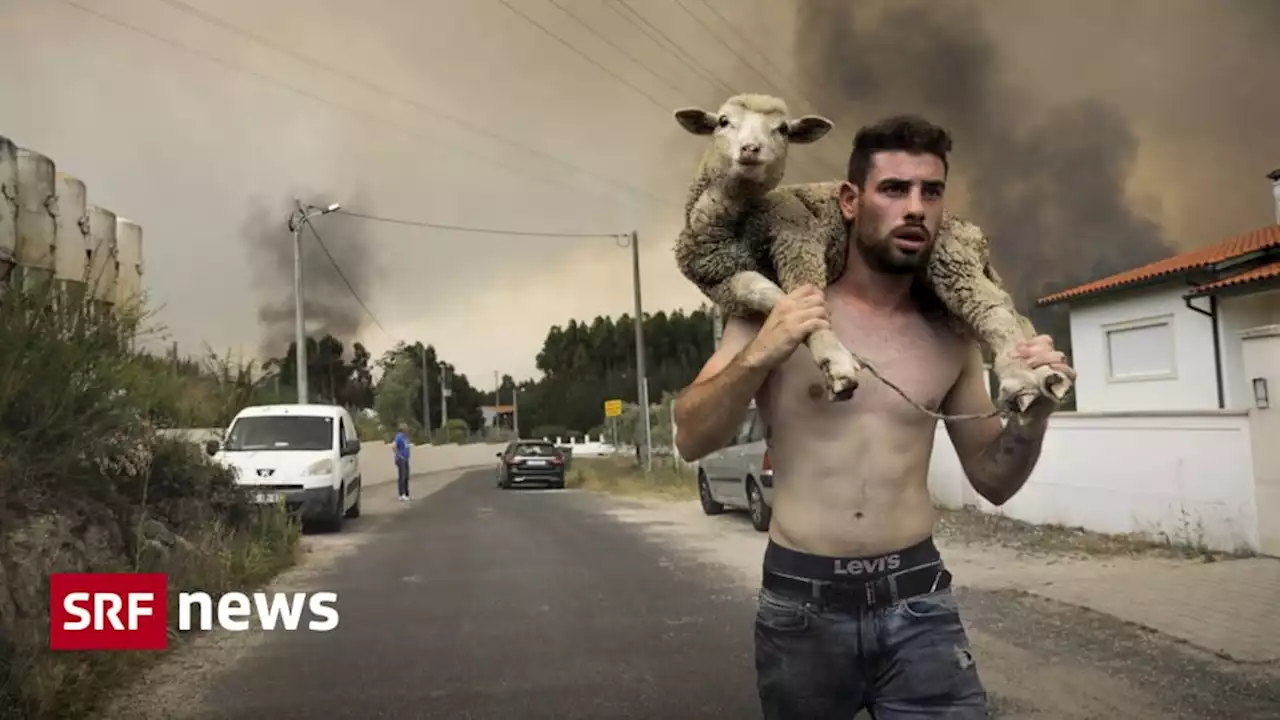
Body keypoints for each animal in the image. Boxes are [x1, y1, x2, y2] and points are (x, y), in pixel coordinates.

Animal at [675, 91, 1075, 415]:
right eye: (723, 122)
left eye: (783, 129)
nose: (750, 150)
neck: (732, 227)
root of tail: (973, 232)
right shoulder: (720, 281)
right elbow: (763, 291)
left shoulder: (797, 238)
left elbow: (808, 294)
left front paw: (836, 364)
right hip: (946, 281)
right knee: (1008, 309)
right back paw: (1046, 374)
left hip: (950, 259)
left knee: (992, 310)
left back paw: (1022, 381)